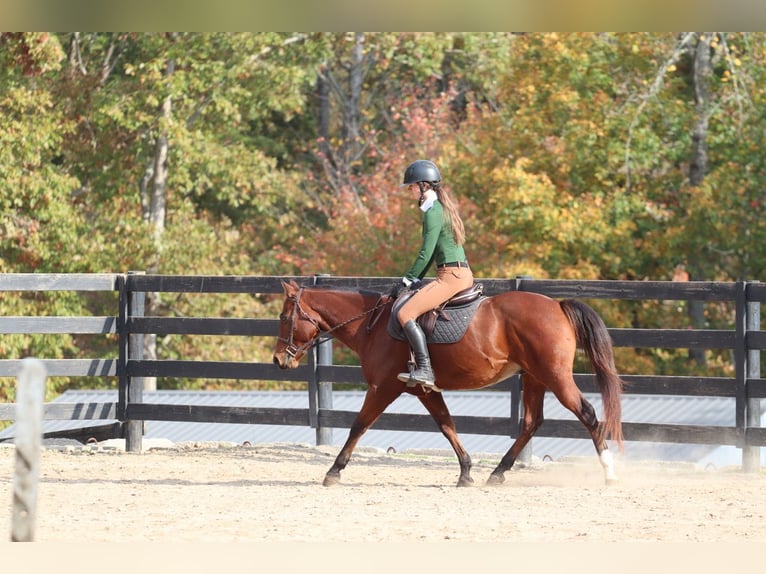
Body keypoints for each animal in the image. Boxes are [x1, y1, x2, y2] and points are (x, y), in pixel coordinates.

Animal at [274, 282, 624, 488]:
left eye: (283, 317)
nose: (278, 360)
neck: (373, 324)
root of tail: (557, 305)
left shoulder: (383, 388)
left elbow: (359, 425)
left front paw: (334, 471)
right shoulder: (424, 390)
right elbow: (446, 425)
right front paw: (466, 472)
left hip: (555, 377)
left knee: (588, 415)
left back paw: (609, 473)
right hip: (535, 378)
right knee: (530, 423)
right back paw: (497, 473)